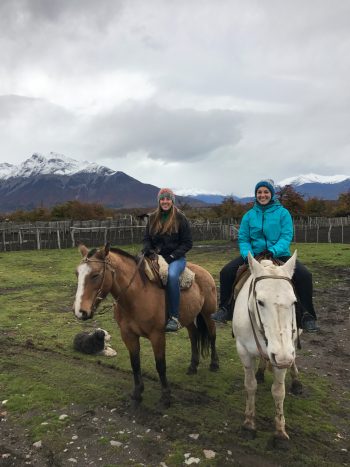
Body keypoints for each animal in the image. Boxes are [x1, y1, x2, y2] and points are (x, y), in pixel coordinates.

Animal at [73, 243, 219, 408]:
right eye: (77, 274)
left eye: (95, 275)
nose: (80, 311)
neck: (137, 295)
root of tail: (204, 272)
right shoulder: (128, 335)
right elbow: (135, 363)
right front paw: (137, 393)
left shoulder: (157, 336)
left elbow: (160, 365)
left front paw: (166, 397)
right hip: (188, 318)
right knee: (194, 336)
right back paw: (193, 366)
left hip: (208, 314)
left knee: (212, 335)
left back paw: (214, 364)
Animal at [232, 252, 300, 446]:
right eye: (260, 302)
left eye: (294, 301)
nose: (284, 359)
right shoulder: (244, 351)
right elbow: (250, 385)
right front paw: (249, 424)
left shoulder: (283, 354)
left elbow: (278, 392)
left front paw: (280, 432)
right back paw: (261, 372)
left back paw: (296, 381)